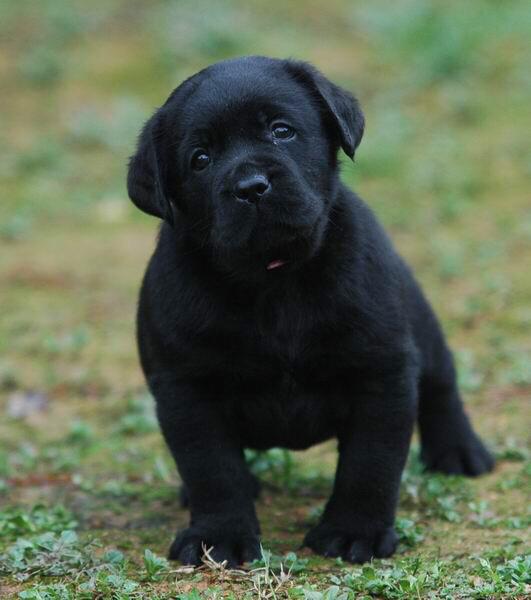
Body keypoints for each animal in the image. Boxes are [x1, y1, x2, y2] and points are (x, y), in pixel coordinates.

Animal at [128, 56, 494, 568]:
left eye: (282, 131)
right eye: (200, 159)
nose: (250, 187)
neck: (274, 279)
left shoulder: (381, 373)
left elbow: (370, 464)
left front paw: (354, 532)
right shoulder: (187, 391)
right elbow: (213, 471)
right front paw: (218, 538)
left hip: (423, 328)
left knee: (442, 387)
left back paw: (458, 453)